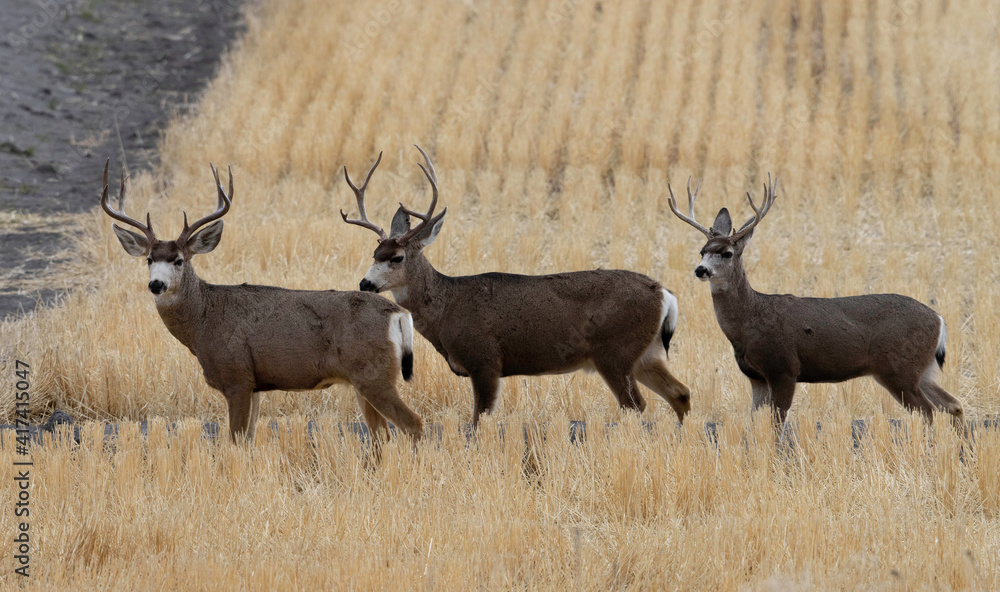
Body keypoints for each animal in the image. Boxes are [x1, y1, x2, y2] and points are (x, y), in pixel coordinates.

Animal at [101, 160, 424, 446]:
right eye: (149, 260)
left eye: (179, 260)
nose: (156, 284)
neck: (204, 321)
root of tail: (397, 312)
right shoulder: (255, 384)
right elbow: (249, 440)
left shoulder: (236, 376)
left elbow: (236, 441)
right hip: (362, 379)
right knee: (381, 435)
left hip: (374, 374)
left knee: (413, 424)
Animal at [338, 146, 691, 427]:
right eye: (374, 254)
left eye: (396, 257)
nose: (366, 283)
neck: (447, 307)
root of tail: (664, 293)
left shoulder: (485, 360)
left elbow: (479, 420)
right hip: (646, 352)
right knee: (681, 393)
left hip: (615, 351)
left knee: (636, 405)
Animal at [667, 174, 965, 429]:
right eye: (702, 251)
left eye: (727, 253)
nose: (701, 270)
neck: (749, 320)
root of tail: (939, 319)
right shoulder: (756, 377)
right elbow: (753, 423)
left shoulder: (784, 368)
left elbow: (777, 424)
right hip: (922, 370)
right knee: (953, 404)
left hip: (898, 368)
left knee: (928, 411)